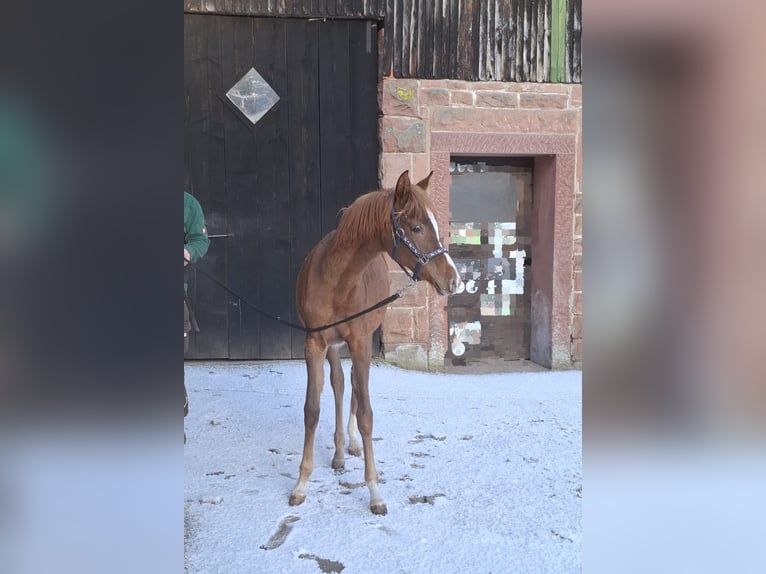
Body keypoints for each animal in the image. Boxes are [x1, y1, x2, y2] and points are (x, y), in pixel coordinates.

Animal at [288, 170, 462, 515]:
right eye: (417, 227)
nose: (453, 280)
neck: (337, 280)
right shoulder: (314, 343)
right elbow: (312, 409)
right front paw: (301, 483)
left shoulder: (359, 342)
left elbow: (367, 414)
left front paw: (374, 491)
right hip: (333, 347)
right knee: (341, 385)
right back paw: (339, 453)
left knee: (355, 386)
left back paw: (352, 444)